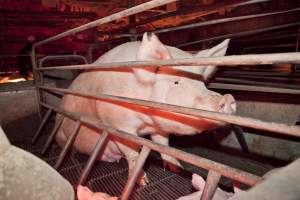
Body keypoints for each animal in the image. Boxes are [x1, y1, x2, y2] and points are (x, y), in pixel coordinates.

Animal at [55, 32, 236, 184]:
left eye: (202, 83)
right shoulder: (117, 123)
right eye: (176, 82)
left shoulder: (158, 128)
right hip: (62, 135)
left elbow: (163, 144)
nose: (227, 98)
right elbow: (131, 150)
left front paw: (178, 168)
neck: (146, 122)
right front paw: (142, 182)